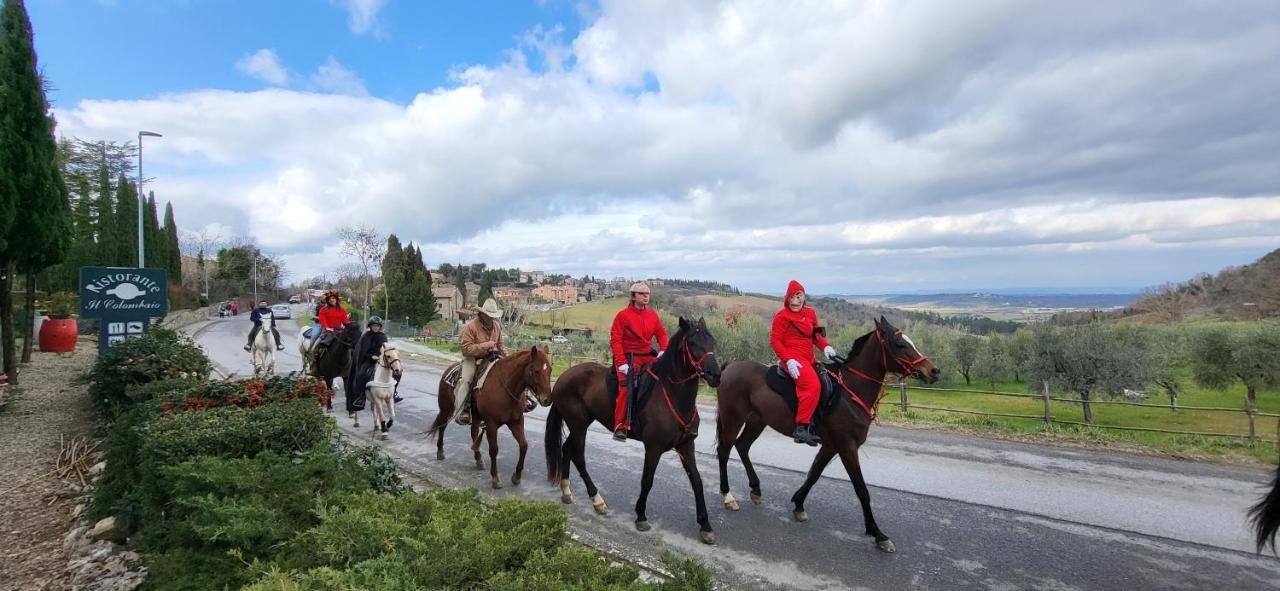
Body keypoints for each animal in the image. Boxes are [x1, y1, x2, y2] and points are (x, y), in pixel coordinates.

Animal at [427, 345, 552, 488]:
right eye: (536, 371)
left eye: (550, 369)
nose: (547, 400)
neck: (505, 387)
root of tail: (449, 370)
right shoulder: (492, 424)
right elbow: (494, 450)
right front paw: (495, 479)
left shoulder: (516, 422)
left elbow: (524, 445)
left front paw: (516, 476)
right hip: (446, 409)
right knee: (442, 427)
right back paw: (440, 452)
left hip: (475, 417)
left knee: (474, 433)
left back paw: (479, 460)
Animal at [540, 318, 721, 544]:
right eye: (693, 343)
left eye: (712, 341)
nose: (716, 375)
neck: (672, 394)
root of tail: (564, 377)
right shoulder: (653, 448)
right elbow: (647, 480)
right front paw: (641, 515)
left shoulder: (686, 445)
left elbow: (697, 481)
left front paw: (705, 525)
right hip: (579, 425)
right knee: (578, 457)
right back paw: (597, 500)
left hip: (580, 424)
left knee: (566, 449)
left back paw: (566, 491)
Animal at [711, 315, 942, 552]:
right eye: (899, 344)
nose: (933, 371)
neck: (850, 391)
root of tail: (730, 367)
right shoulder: (847, 446)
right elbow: (861, 489)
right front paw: (877, 533)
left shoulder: (831, 446)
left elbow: (814, 474)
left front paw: (799, 504)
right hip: (733, 419)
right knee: (724, 451)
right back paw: (728, 496)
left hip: (757, 421)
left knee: (742, 447)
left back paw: (756, 490)